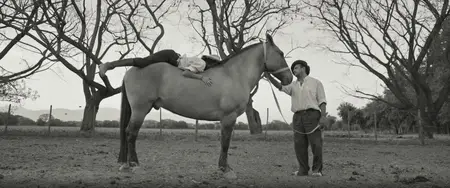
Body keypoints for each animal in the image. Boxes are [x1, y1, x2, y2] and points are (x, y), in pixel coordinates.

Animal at [118, 33, 294, 178]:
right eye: (280, 53)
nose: (289, 78)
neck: (234, 75)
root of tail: (130, 71)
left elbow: (225, 142)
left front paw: (224, 167)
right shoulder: (229, 117)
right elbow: (225, 142)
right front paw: (225, 169)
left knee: (128, 132)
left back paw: (126, 165)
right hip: (140, 110)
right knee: (131, 133)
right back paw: (134, 165)